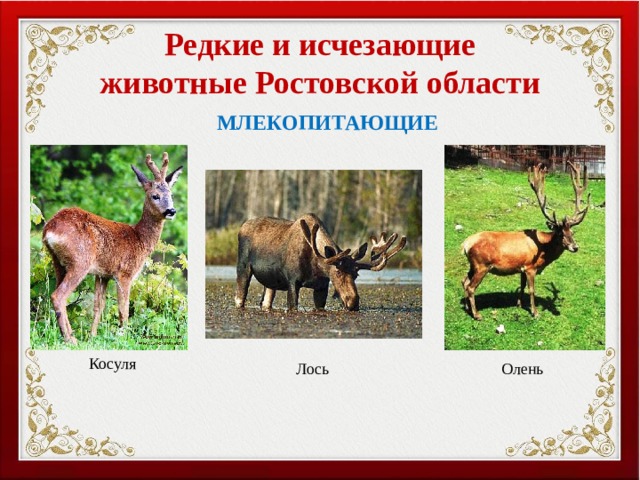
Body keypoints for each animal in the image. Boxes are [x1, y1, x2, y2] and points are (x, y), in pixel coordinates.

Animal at [42, 152, 183, 344]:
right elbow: (123, 308)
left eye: (171, 194)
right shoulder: (124, 273)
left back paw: (69, 336)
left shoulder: (103, 274)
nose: (171, 211)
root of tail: (50, 229)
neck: (140, 239)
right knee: (59, 296)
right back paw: (71, 339)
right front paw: (123, 337)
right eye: (155, 196)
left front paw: (92, 337)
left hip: (57, 261)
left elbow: (98, 306)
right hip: (80, 261)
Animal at [235, 213, 406, 311]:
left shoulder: (321, 287)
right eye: (337, 272)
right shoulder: (292, 282)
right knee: (239, 298)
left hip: (271, 283)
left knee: (265, 302)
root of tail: (241, 226)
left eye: (356, 275)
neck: (316, 267)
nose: (353, 303)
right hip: (243, 267)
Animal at [461, 161, 589, 320]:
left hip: (473, 265)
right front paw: (535, 312)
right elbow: (531, 289)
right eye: (560, 234)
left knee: (464, 281)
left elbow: (522, 286)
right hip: (481, 265)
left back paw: (467, 308)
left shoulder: (521, 267)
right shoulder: (530, 267)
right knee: (471, 287)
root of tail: (465, 245)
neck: (544, 250)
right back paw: (477, 314)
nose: (575, 247)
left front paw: (519, 304)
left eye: (571, 232)